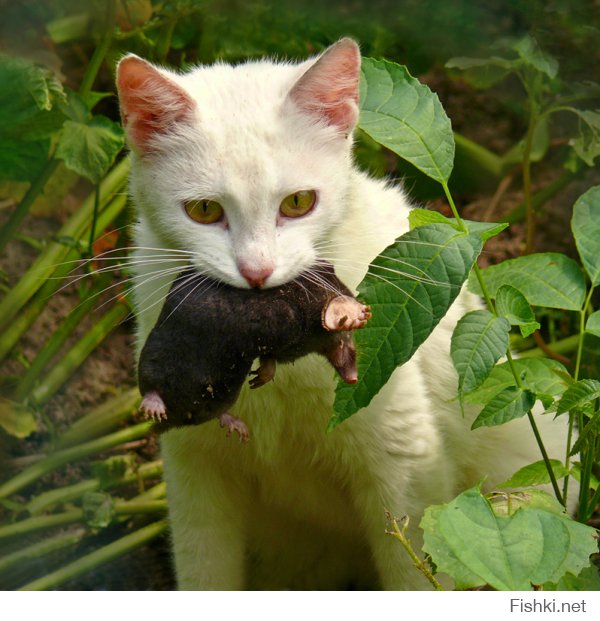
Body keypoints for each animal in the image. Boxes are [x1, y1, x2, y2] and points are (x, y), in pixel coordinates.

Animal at [117, 40, 572, 592]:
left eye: (298, 202)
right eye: (203, 210)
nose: (256, 272)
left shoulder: (404, 464)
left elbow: (415, 572)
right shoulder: (193, 471)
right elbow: (205, 572)